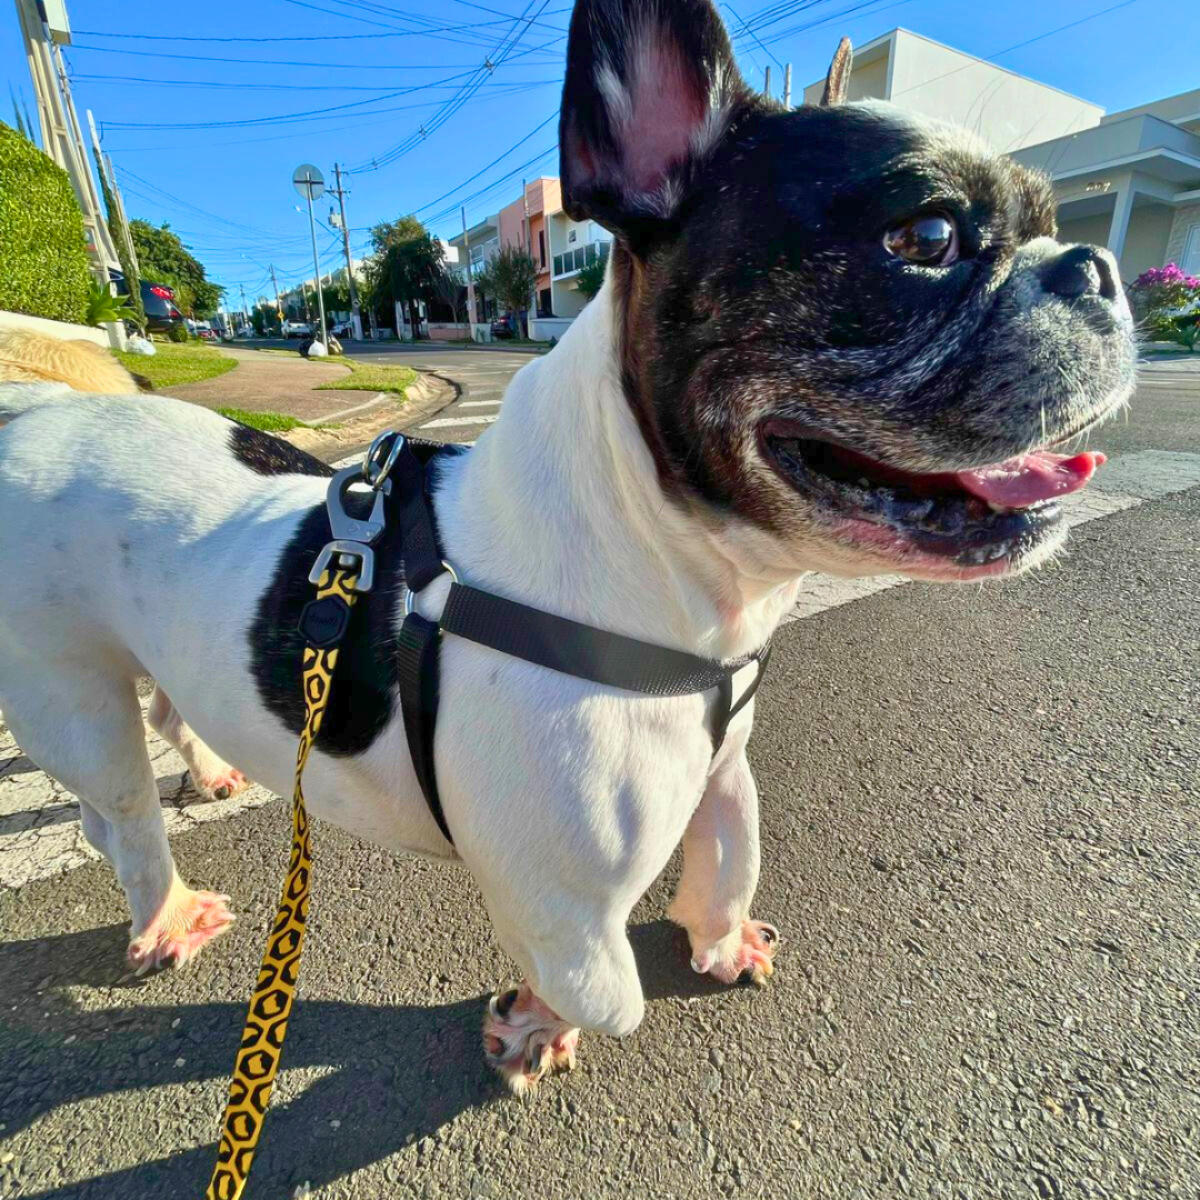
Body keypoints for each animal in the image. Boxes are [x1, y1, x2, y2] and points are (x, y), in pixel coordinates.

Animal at [0, 0, 1132, 1094]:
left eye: (1052, 223)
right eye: (926, 236)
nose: (1101, 267)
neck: (671, 565)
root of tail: (37, 411)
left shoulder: (723, 766)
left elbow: (733, 853)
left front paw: (718, 939)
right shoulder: (560, 901)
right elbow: (609, 993)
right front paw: (537, 1023)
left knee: (164, 717)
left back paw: (209, 776)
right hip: (71, 697)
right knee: (120, 810)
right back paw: (164, 911)